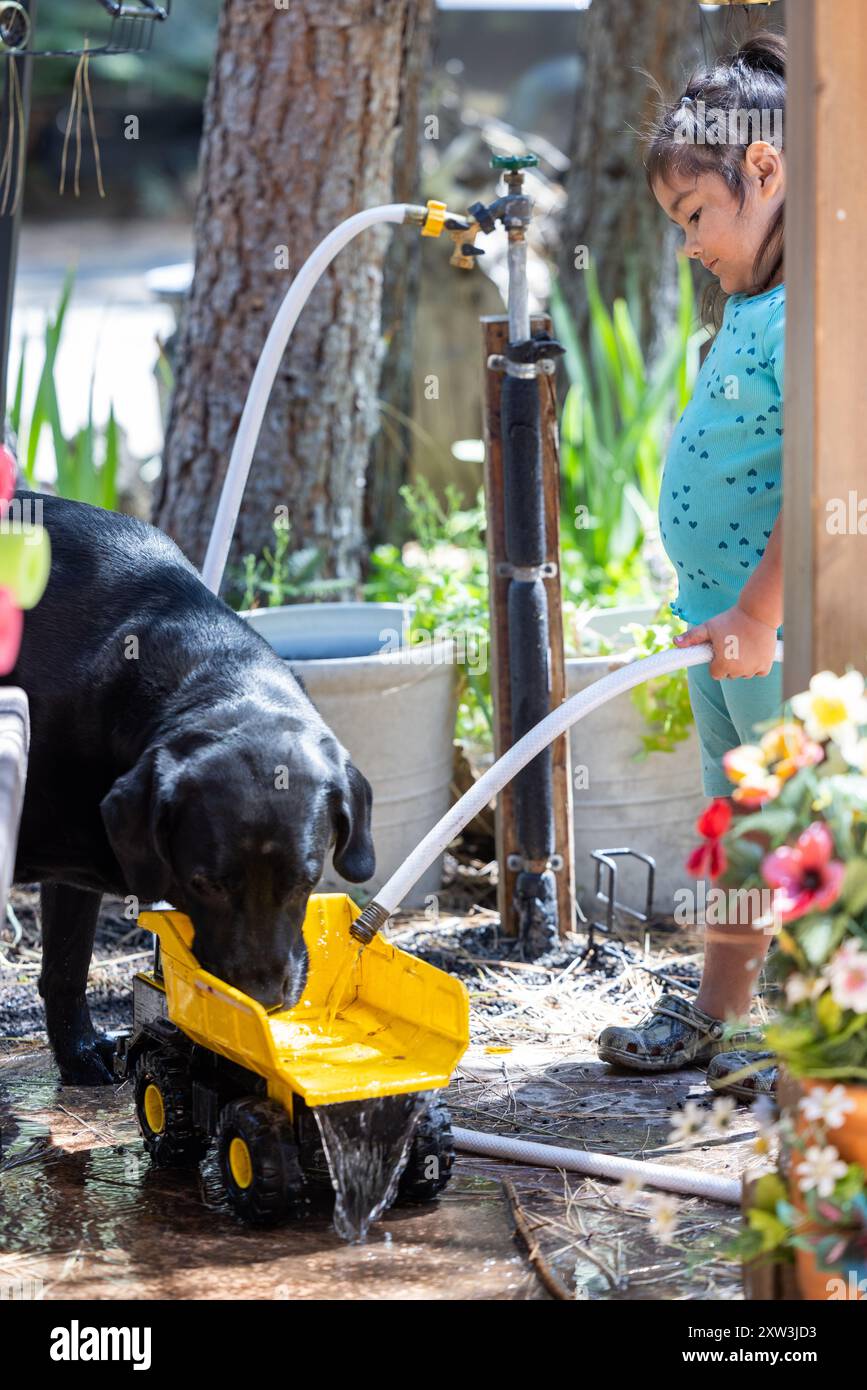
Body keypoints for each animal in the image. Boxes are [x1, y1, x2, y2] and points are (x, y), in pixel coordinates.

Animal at [4, 494, 375, 1089]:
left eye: (307, 880)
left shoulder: (73, 885)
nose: (263, 1000)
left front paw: (79, 1055)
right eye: (207, 884)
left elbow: (66, 965)